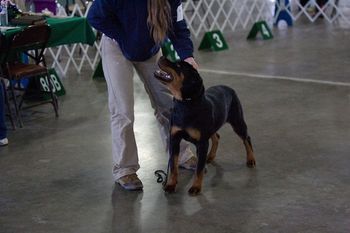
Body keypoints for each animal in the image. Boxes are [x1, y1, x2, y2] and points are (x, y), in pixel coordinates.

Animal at [154, 56, 256, 195]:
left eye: (179, 66)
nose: (161, 56)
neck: (185, 104)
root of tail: (228, 88)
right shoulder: (174, 139)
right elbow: (174, 166)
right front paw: (170, 185)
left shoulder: (202, 143)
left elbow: (199, 169)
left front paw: (196, 187)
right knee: (216, 137)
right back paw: (211, 156)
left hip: (237, 120)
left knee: (246, 138)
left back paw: (251, 159)